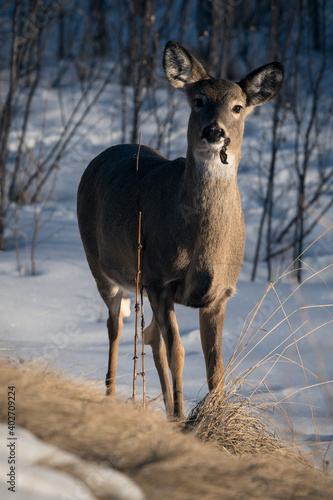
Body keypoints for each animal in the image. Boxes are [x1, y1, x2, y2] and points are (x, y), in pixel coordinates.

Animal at [78, 41, 282, 420]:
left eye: (237, 107)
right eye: (198, 100)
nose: (215, 132)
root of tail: (104, 153)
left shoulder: (219, 294)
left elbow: (214, 365)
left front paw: (207, 419)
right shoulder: (160, 279)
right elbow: (179, 353)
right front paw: (185, 416)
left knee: (149, 335)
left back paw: (169, 412)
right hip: (99, 263)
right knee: (117, 328)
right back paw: (113, 397)